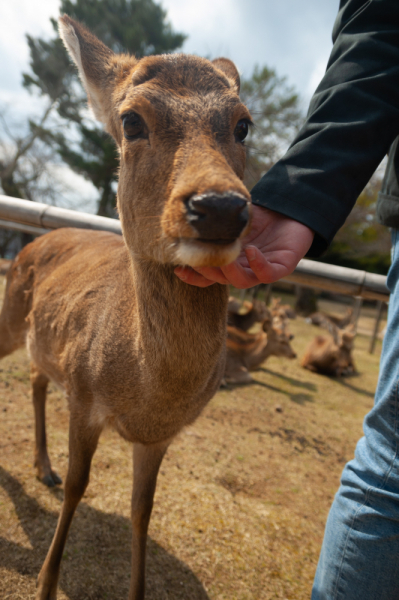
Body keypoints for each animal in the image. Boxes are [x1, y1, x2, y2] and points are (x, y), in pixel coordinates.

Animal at [0, 14, 256, 600]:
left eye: (243, 125)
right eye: (132, 120)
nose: (219, 206)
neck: (143, 392)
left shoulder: (160, 435)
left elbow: (143, 510)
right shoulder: (83, 393)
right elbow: (79, 486)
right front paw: (46, 583)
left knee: (36, 377)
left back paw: (41, 465)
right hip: (10, 314)